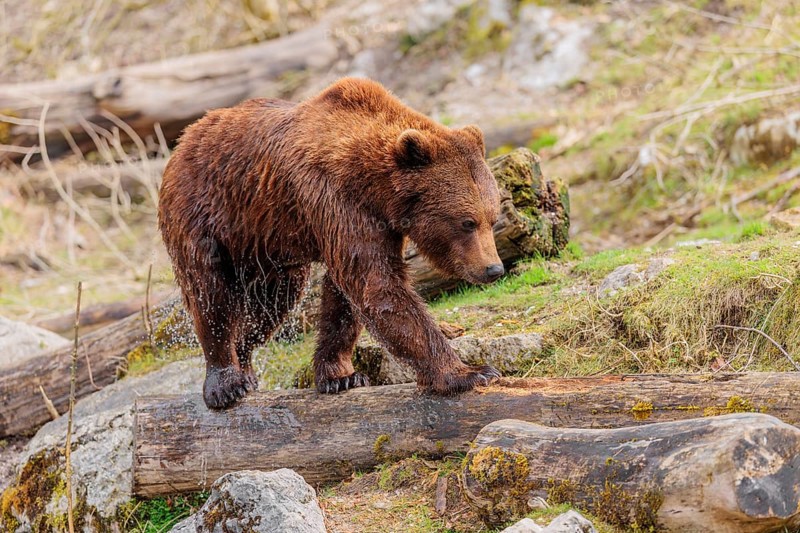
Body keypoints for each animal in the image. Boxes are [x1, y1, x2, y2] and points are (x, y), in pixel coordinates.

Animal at [158, 77, 505, 409]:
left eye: (492, 217)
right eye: (467, 222)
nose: (493, 269)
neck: (374, 186)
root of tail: (185, 139)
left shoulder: (372, 223)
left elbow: (345, 296)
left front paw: (340, 376)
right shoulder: (333, 198)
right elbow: (378, 288)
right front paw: (471, 372)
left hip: (265, 245)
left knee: (272, 302)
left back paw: (246, 367)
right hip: (203, 213)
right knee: (210, 295)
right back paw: (226, 383)